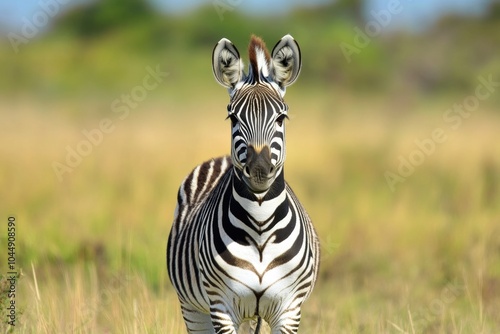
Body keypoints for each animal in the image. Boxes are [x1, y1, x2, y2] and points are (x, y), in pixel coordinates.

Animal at [166, 34, 318, 334]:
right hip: (193, 309)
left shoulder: (289, 309)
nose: (258, 171)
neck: (260, 223)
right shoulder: (221, 307)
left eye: (281, 117)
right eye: (233, 117)